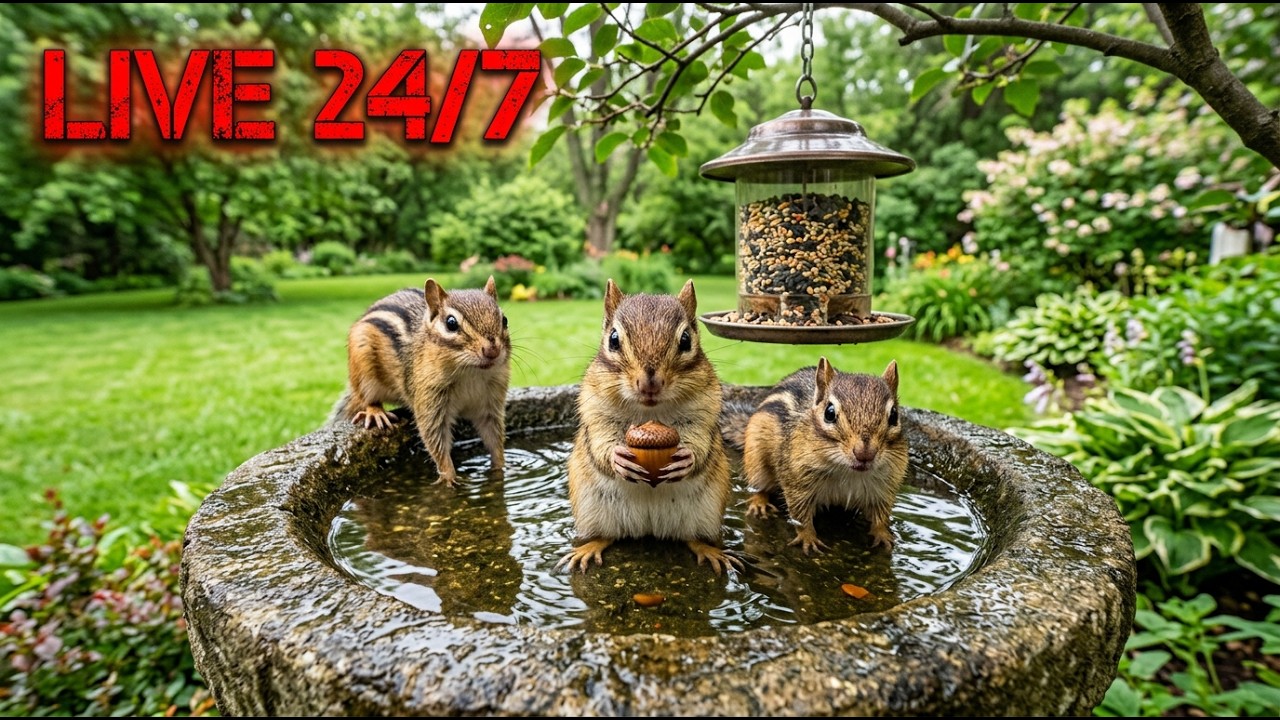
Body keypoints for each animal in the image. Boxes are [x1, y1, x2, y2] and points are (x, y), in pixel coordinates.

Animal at [333, 276, 510, 486]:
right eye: (451, 323)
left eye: (505, 320)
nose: (492, 350)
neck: (471, 375)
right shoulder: (430, 400)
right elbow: (434, 437)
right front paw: (449, 476)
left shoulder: (490, 404)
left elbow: (494, 436)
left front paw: (500, 468)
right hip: (362, 368)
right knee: (366, 398)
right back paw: (376, 412)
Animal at [559, 279, 742, 575]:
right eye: (613, 339)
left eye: (686, 339)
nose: (649, 383)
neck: (650, 412)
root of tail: (649, 528)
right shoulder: (595, 410)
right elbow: (600, 440)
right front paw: (617, 458)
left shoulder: (705, 409)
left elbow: (700, 439)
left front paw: (688, 458)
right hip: (592, 513)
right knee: (605, 536)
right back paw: (588, 548)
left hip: (706, 514)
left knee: (693, 539)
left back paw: (711, 551)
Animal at [731, 358, 908, 555]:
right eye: (829, 413)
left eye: (894, 415)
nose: (865, 454)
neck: (848, 472)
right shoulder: (797, 480)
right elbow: (800, 515)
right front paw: (808, 538)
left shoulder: (884, 486)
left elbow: (881, 515)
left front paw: (884, 535)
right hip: (756, 460)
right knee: (759, 486)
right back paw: (759, 503)